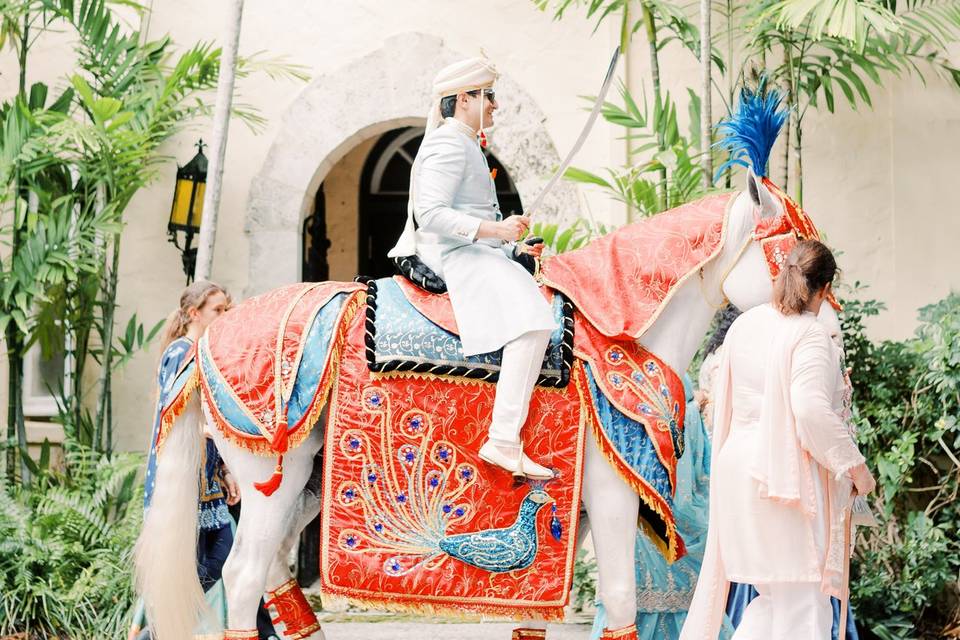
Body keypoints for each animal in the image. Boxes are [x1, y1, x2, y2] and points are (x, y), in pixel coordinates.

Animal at [135, 171, 808, 640]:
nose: (817, 301)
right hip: (274, 475)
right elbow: (620, 598)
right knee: (244, 578)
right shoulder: (612, 494)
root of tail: (201, 345)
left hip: (299, 489)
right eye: (797, 245)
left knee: (272, 577)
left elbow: (536, 615)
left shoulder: (570, 520)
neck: (616, 335)